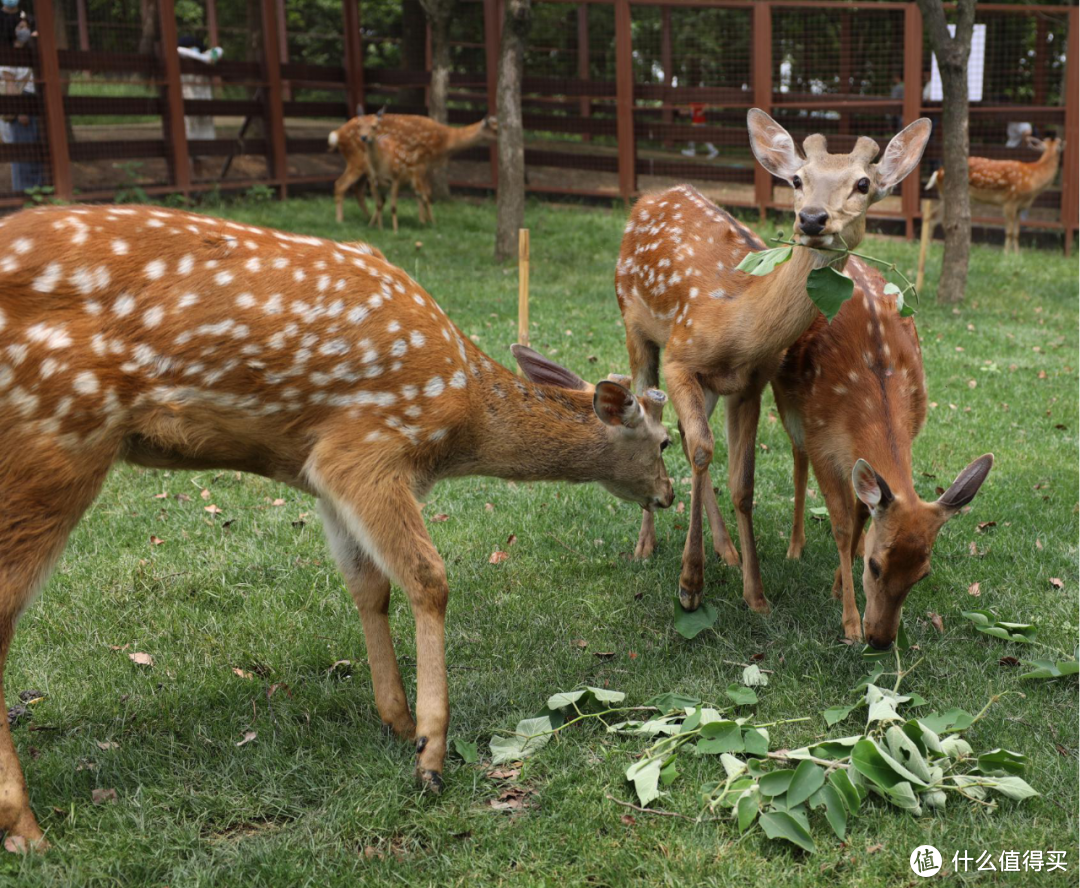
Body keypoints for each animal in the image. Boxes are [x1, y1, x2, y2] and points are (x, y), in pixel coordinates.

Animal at [0, 205, 669, 851]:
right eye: (665, 442)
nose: (666, 494)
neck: (462, 417)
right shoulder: (366, 446)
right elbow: (428, 578)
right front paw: (430, 753)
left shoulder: (321, 474)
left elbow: (368, 587)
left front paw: (397, 719)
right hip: (57, 435)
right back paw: (27, 828)